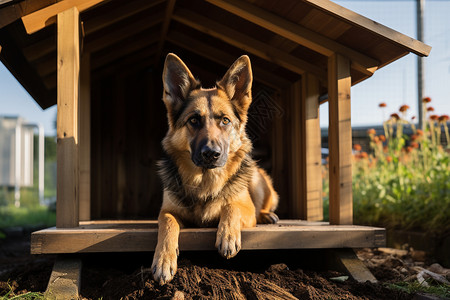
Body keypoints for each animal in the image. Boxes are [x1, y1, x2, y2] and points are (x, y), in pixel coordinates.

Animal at [152, 52, 278, 284]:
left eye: (225, 121)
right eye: (194, 120)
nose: (211, 153)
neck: (205, 182)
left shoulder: (245, 208)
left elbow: (231, 206)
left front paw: (227, 235)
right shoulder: (167, 211)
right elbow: (168, 222)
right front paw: (163, 259)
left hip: (257, 179)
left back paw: (266, 216)